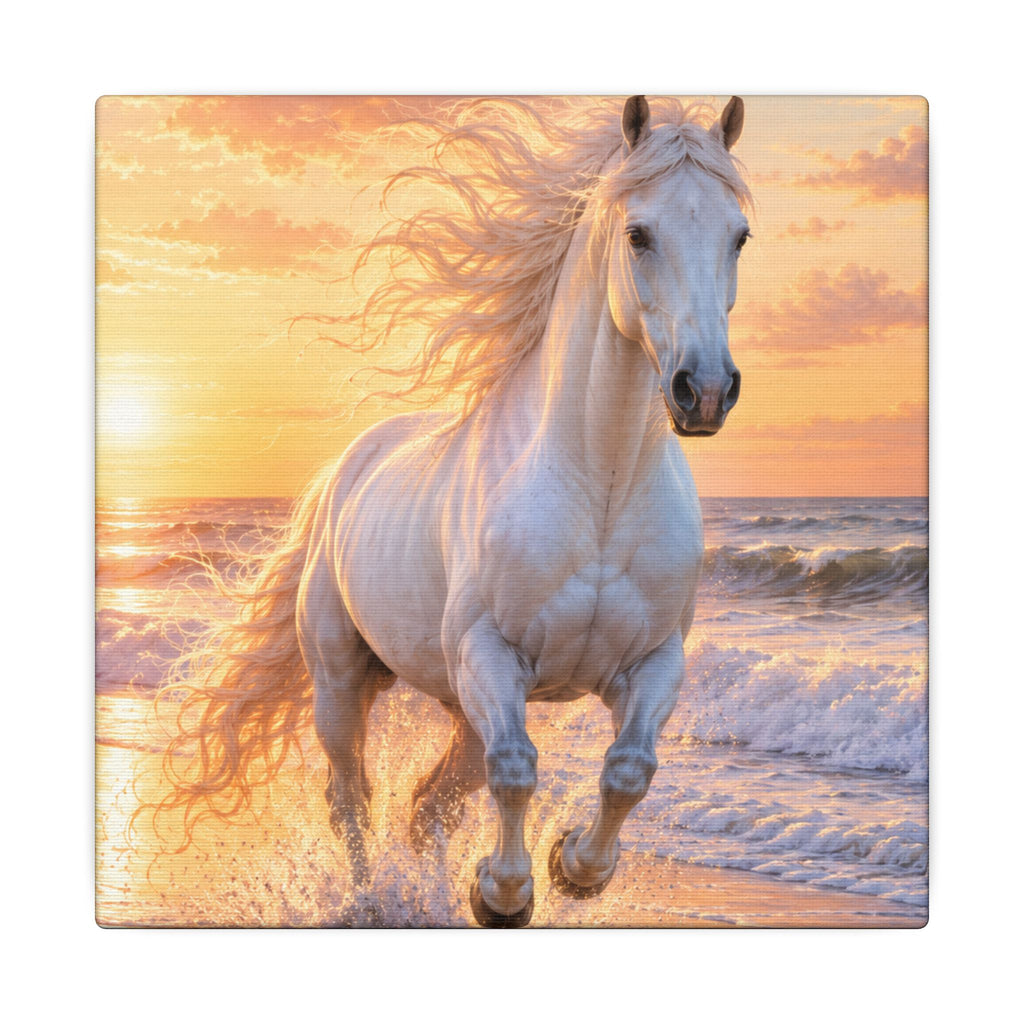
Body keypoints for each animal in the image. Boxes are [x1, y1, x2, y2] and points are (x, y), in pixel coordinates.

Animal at [153, 95, 752, 927]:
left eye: (739, 234)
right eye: (639, 233)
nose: (705, 391)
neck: (597, 489)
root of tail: (344, 470)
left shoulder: (652, 661)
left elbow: (629, 769)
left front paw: (573, 868)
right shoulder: (489, 655)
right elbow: (515, 771)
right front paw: (503, 894)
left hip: (459, 705)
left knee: (426, 806)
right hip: (344, 682)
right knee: (354, 799)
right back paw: (371, 900)